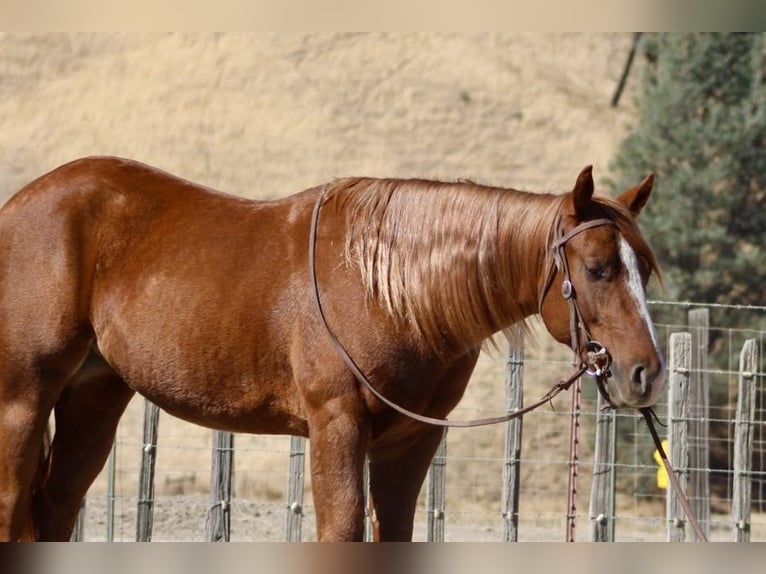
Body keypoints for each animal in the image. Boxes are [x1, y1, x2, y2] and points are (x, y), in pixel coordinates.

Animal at [0, 159, 660, 544]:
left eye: (644, 270)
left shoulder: (410, 442)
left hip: (92, 402)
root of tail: (20, 206)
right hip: (22, 404)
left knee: (54, 508)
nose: (644, 374)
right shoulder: (336, 425)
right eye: (598, 269)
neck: (392, 288)